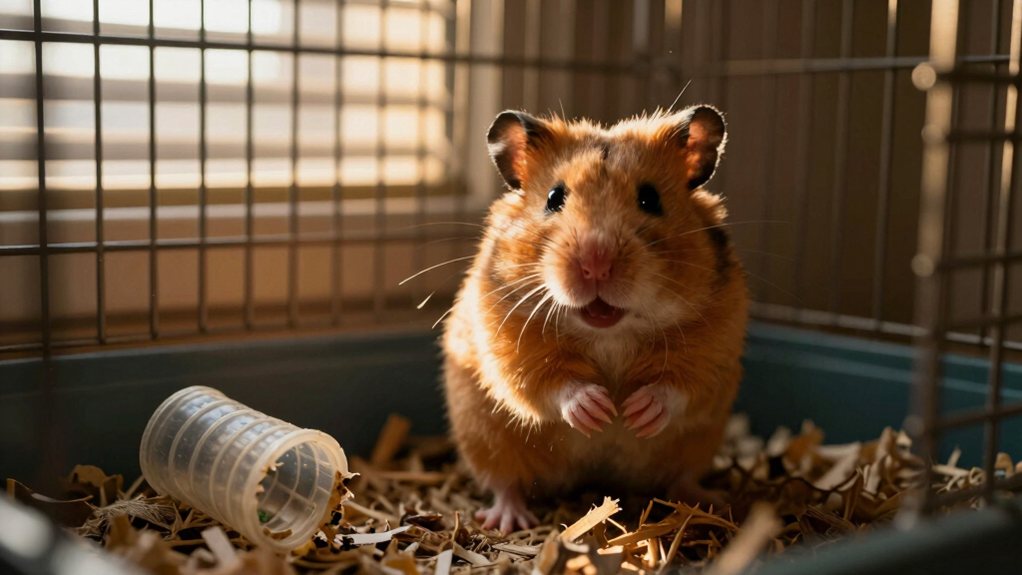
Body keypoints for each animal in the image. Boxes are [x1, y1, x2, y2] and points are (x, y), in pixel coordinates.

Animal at [441, 105, 748, 533]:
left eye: (650, 198)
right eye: (554, 197)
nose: (596, 262)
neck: (611, 333)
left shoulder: (715, 347)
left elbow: (678, 386)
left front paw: (635, 413)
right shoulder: (509, 343)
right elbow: (549, 383)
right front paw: (599, 412)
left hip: (698, 445)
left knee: (682, 478)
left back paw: (710, 502)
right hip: (484, 437)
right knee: (504, 482)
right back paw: (508, 519)